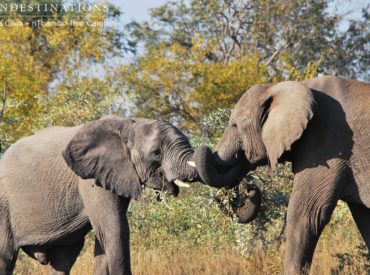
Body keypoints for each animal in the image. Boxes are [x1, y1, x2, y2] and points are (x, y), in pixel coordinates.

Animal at [0, 115, 199, 274]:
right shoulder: (91, 179)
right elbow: (115, 229)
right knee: (5, 256)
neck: (129, 126)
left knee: (63, 259)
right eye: (156, 152)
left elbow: (105, 237)